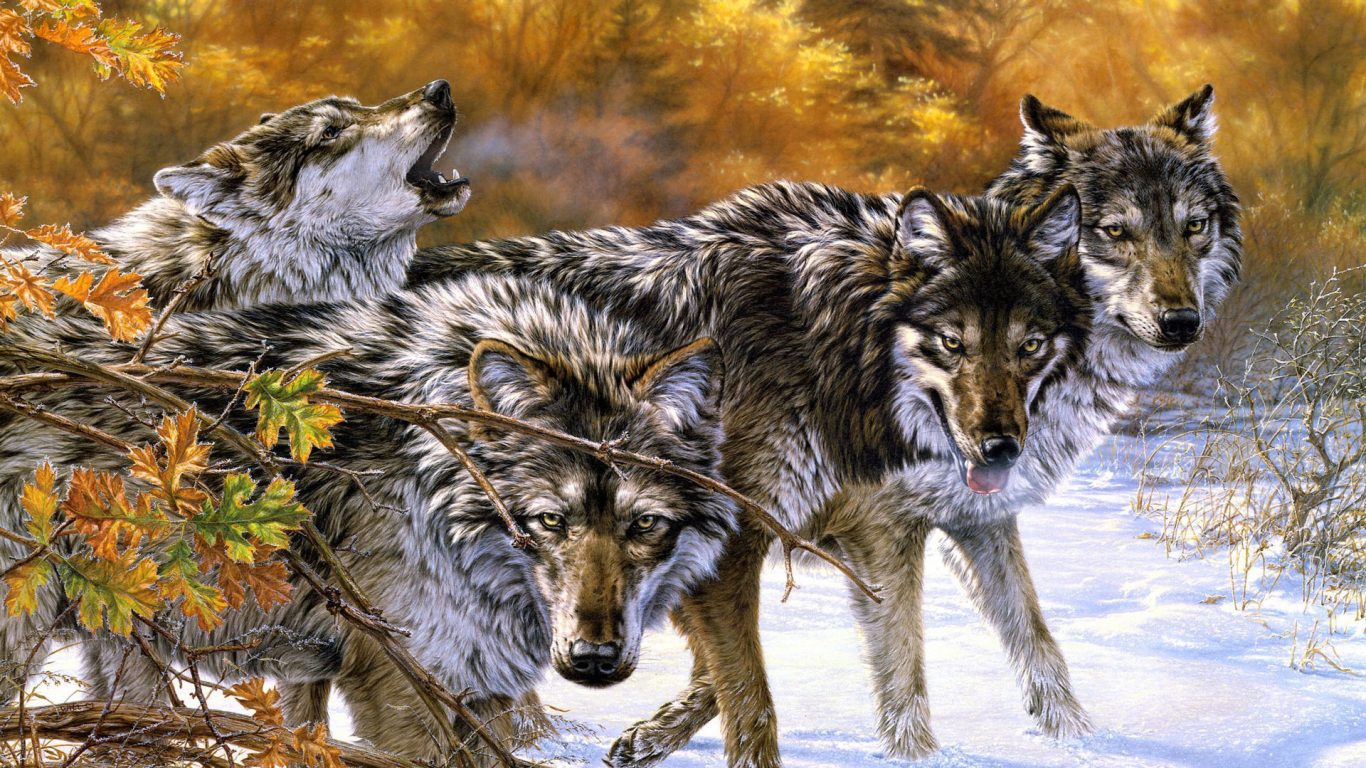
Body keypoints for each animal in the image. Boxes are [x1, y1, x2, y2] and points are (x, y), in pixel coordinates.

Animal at [407, 180, 1092, 765]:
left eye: (1030, 346)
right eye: (953, 343)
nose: (1001, 449)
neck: (827, 349)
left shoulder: (926, 525)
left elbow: (1031, 639)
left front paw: (1076, 738)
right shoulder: (744, 540)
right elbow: (754, 693)